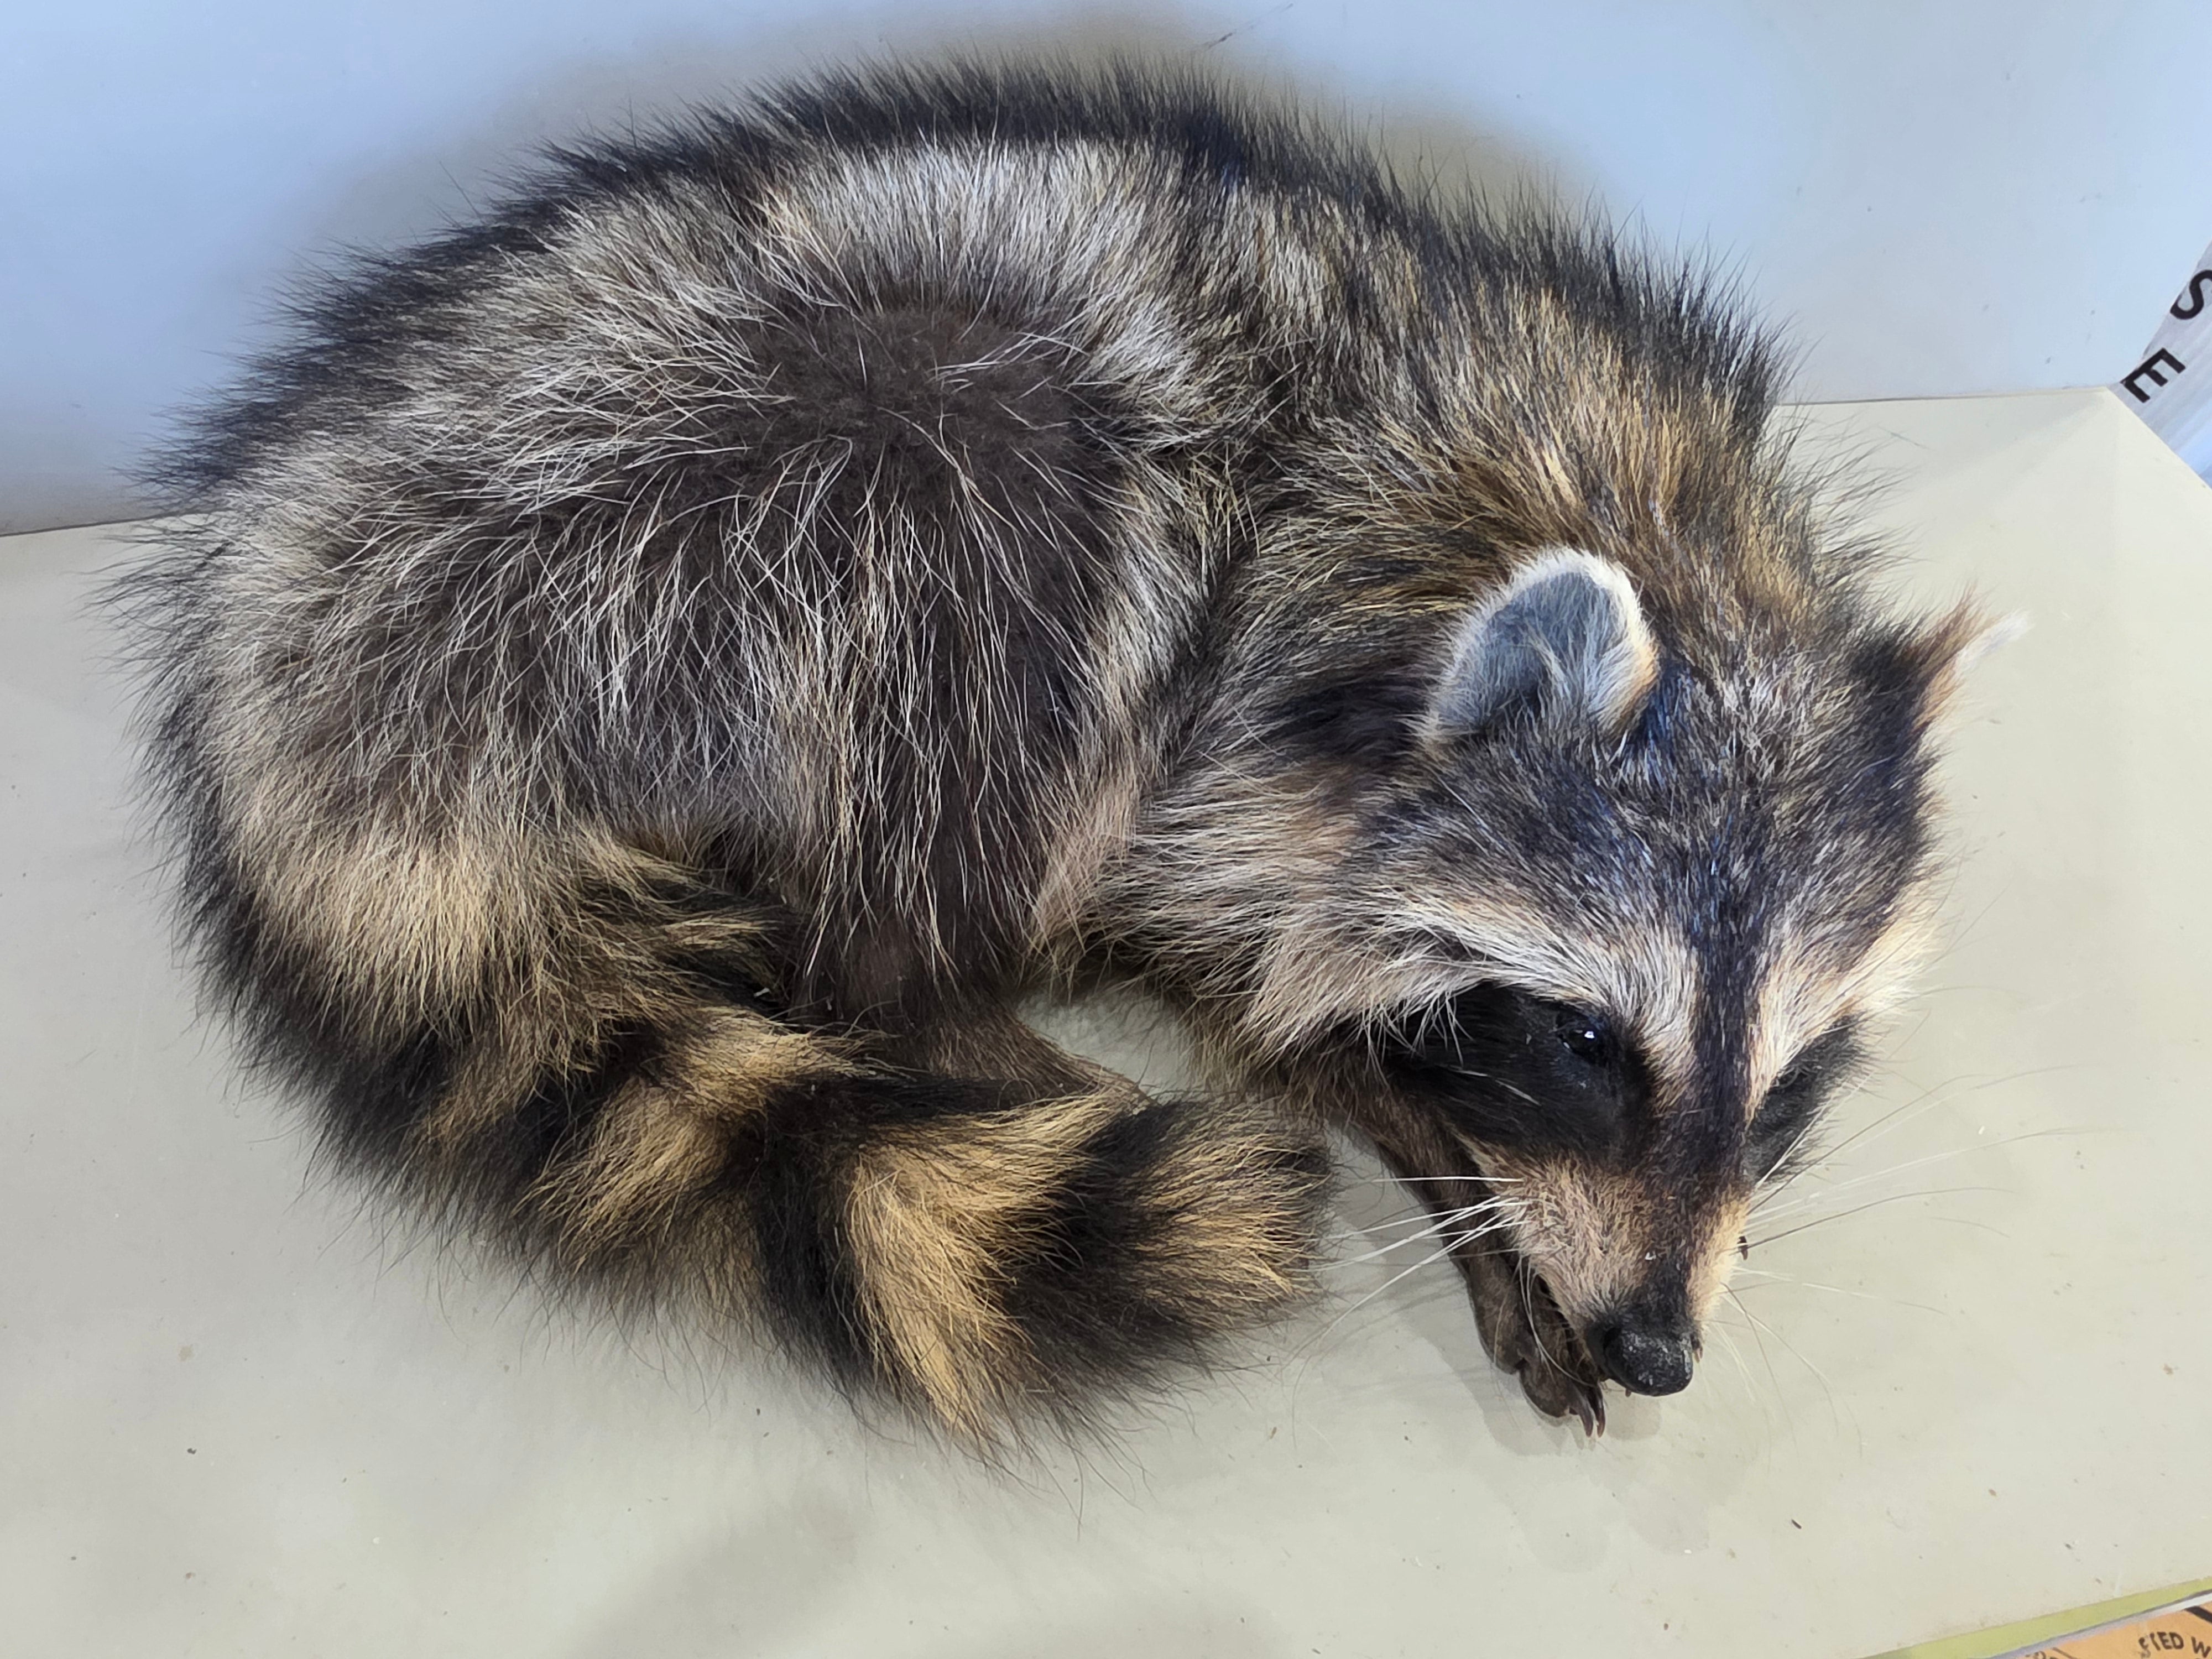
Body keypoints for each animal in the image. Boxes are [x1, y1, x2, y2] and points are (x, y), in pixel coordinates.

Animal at [121, 60, 1986, 1442]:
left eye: (1792, 1082)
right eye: (1588, 1041)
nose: (1664, 1345)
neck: (1657, 526)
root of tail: (276, 617)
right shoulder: (1224, 707)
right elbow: (1224, 964)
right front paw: (1424, 1125)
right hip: (733, 503)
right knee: (949, 722)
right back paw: (960, 1011)